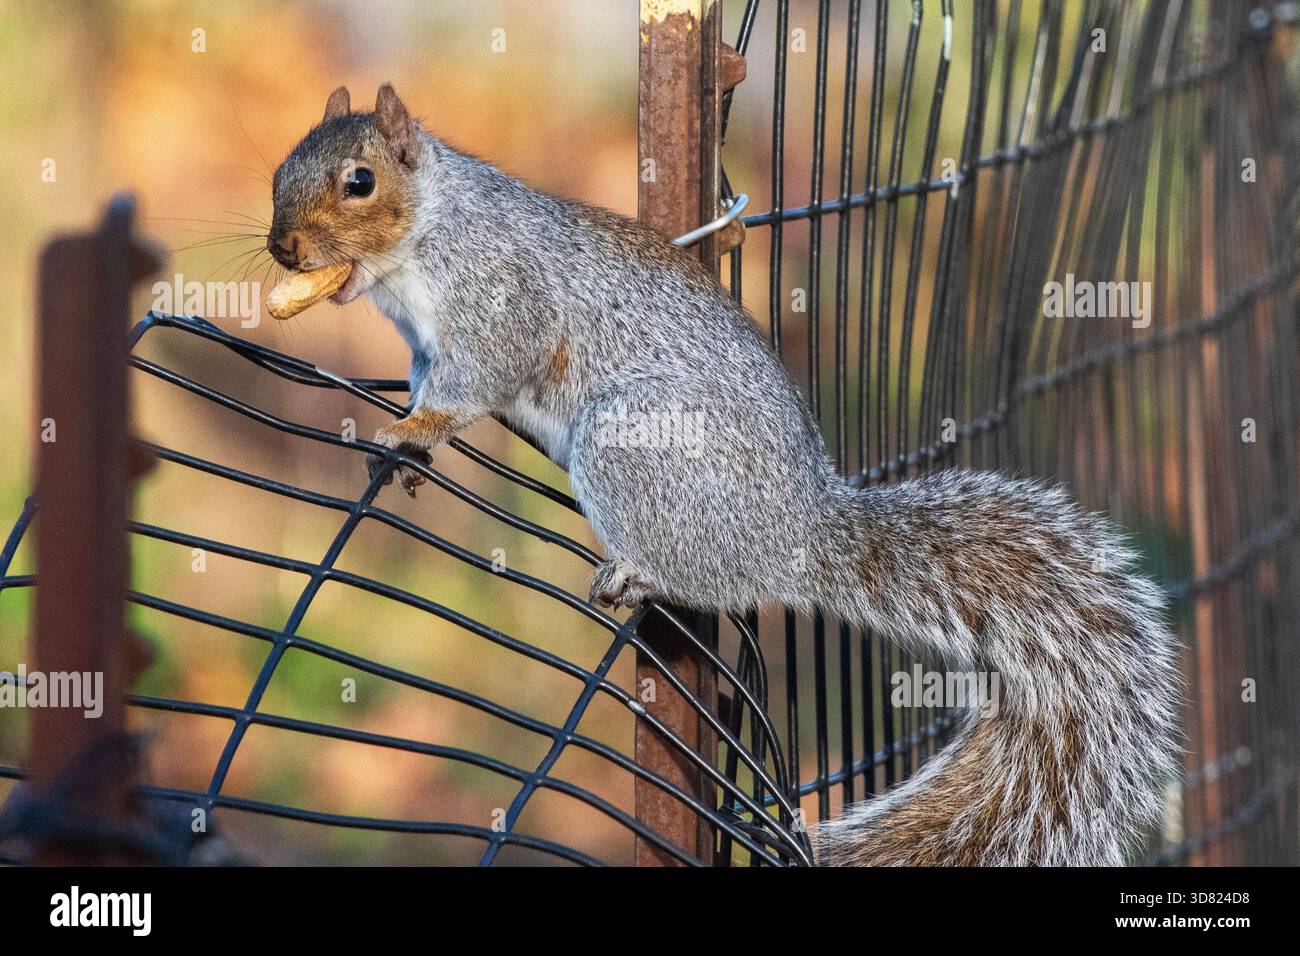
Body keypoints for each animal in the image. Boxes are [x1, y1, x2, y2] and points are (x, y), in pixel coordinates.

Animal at [265, 84, 1180, 866]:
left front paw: (413, 428)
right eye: (279, 173)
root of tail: (805, 533)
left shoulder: (500, 299)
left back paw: (639, 571)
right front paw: (414, 446)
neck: (427, 234)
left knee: (714, 578)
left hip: (630, 444)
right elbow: (431, 383)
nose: (282, 247)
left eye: (359, 182)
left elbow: (476, 379)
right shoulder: (425, 345)